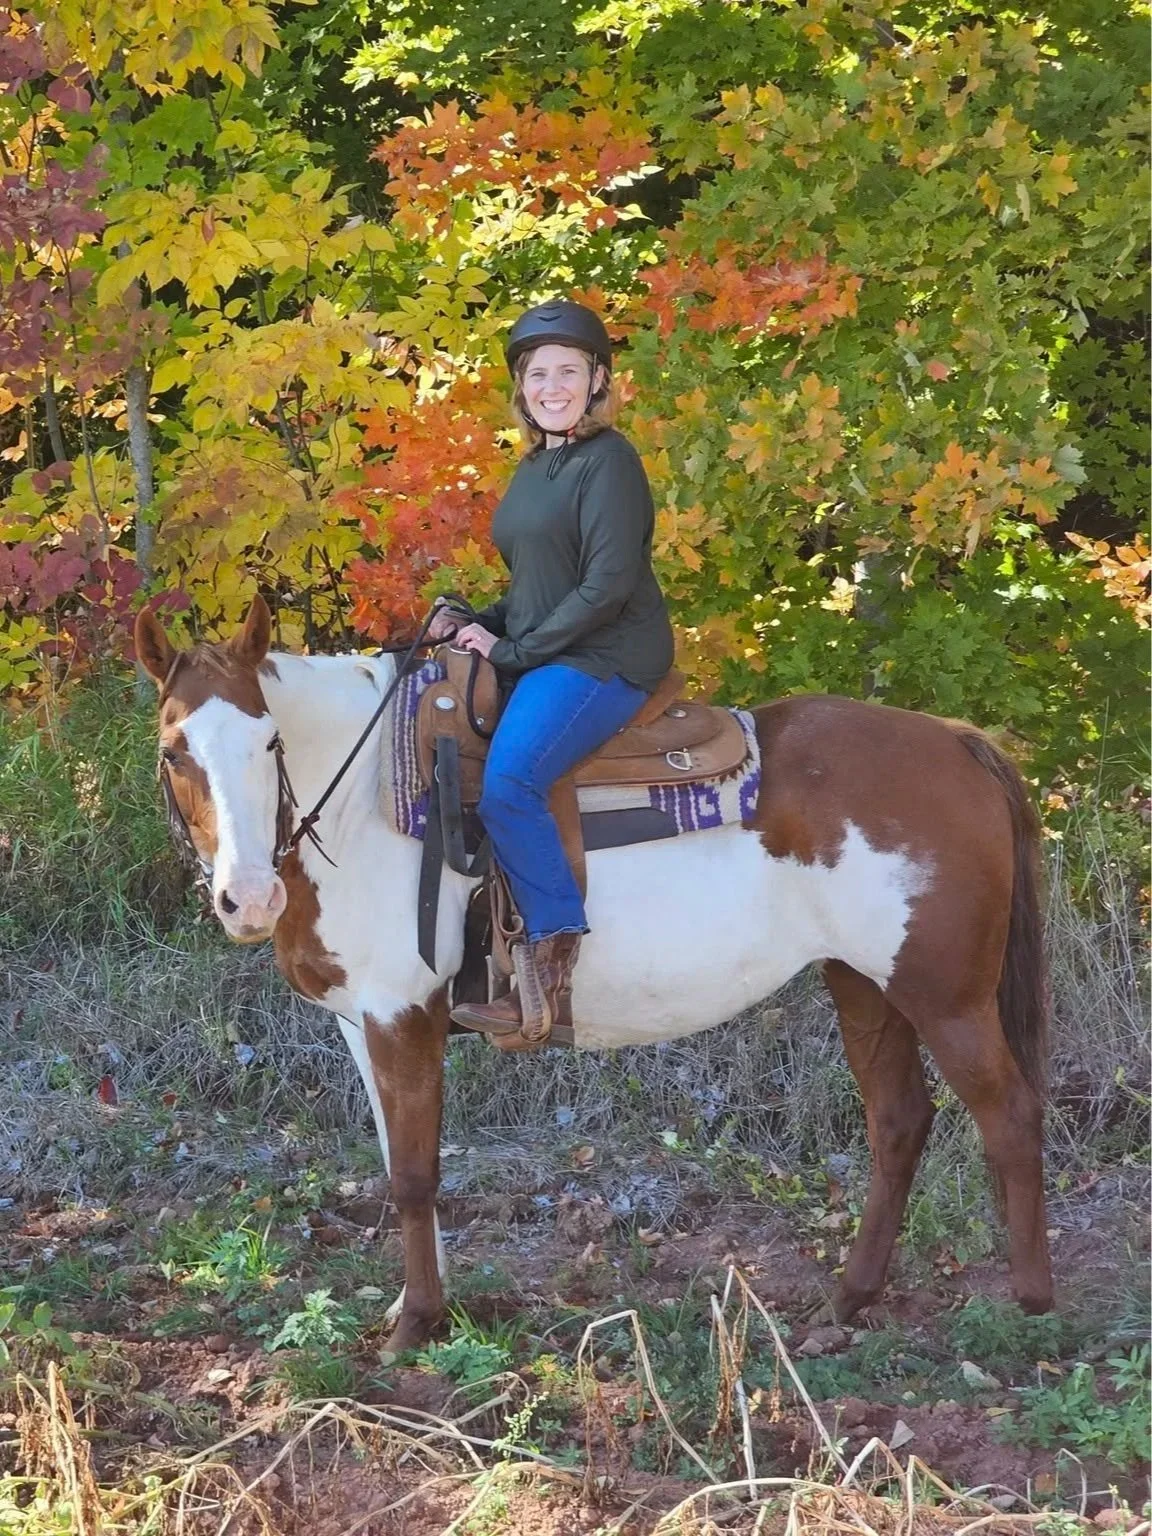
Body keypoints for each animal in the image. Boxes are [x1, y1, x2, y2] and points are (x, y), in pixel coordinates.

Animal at [134, 596, 1052, 1353]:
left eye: (268, 742)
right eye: (175, 752)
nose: (249, 899)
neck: (366, 799)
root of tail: (958, 741)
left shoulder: (405, 1015)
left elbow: (416, 1175)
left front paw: (417, 1326)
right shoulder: (361, 1021)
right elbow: (401, 1163)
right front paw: (412, 1307)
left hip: (947, 998)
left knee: (1008, 1116)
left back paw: (1032, 1306)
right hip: (863, 984)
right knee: (899, 1122)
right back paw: (849, 1299)